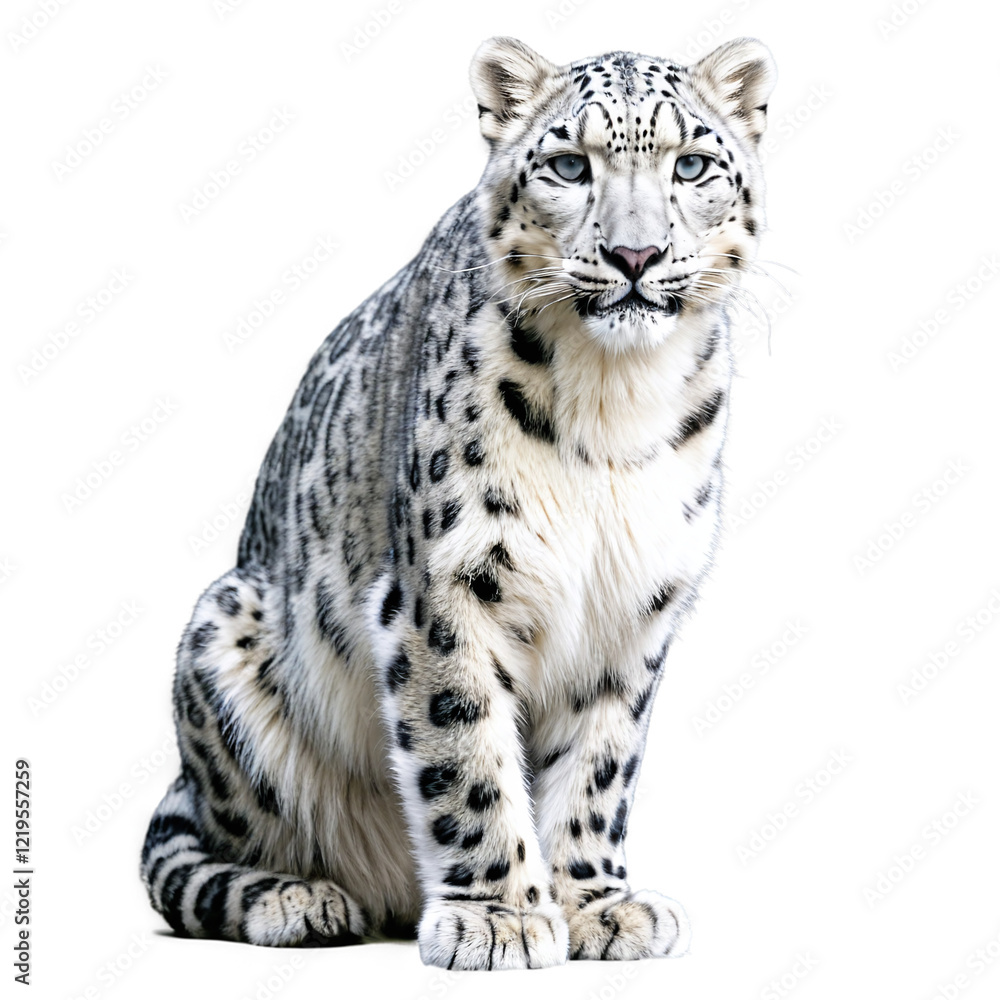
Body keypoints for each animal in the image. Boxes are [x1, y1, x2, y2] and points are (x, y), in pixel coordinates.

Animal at [140, 35, 776, 970]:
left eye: (691, 164)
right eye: (568, 164)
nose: (636, 257)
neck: (616, 402)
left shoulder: (636, 604)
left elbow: (601, 762)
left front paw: (597, 905)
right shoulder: (448, 586)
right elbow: (464, 746)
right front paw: (500, 918)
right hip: (227, 630)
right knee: (207, 841)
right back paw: (299, 899)